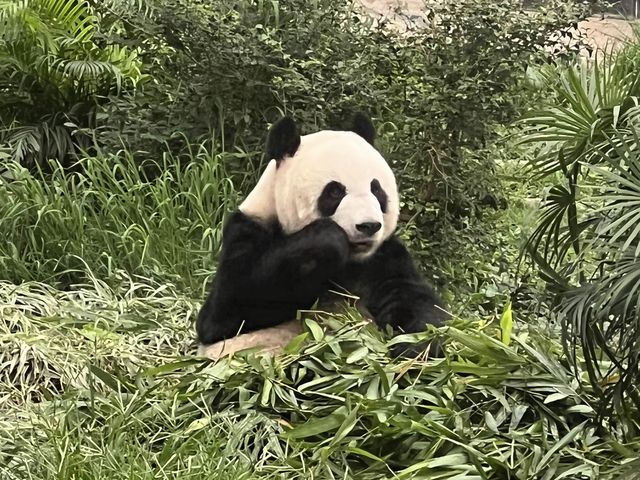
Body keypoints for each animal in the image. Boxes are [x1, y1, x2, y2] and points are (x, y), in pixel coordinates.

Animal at [198, 112, 448, 360]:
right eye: (335, 191)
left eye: (376, 189)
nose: (369, 225)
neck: (350, 261)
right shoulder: (247, 231)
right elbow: (228, 309)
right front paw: (329, 239)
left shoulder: (383, 257)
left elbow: (412, 299)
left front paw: (417, 348)